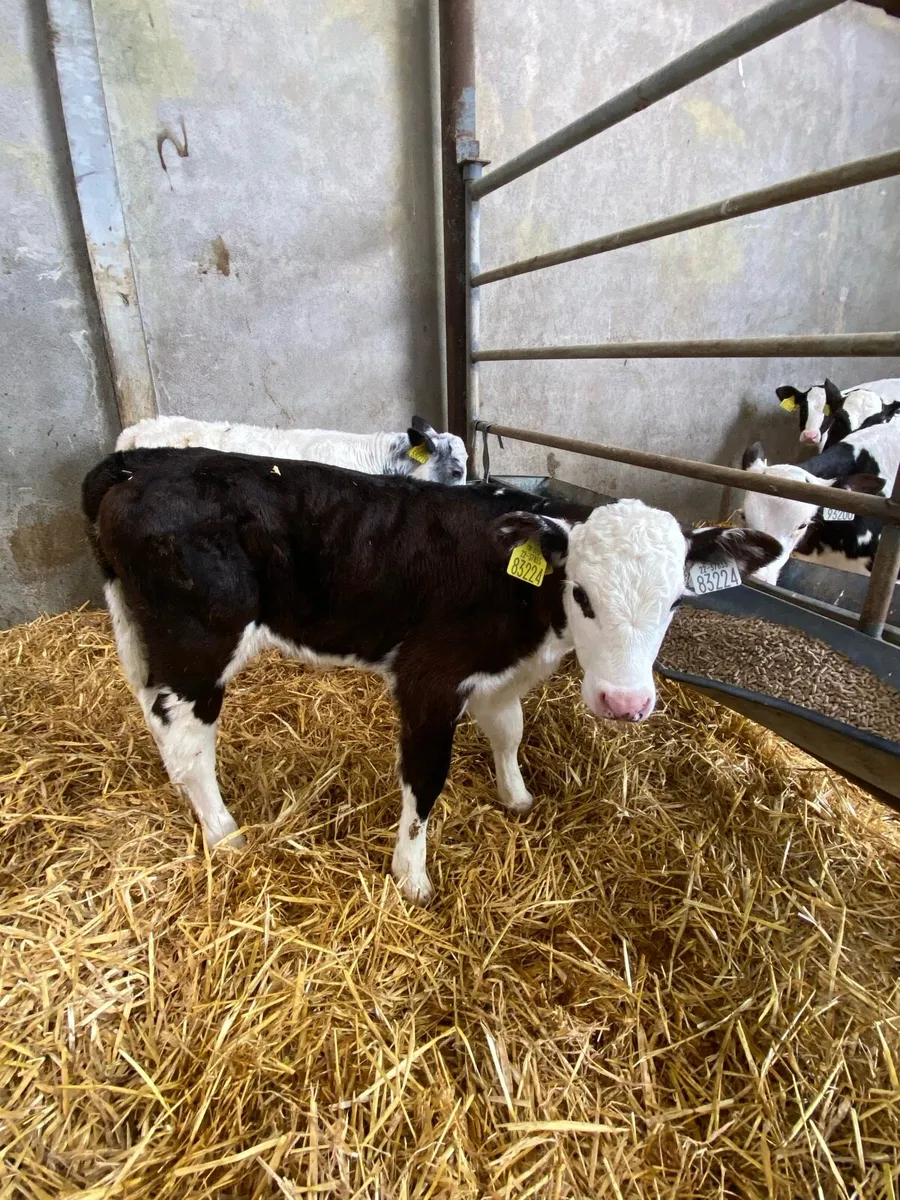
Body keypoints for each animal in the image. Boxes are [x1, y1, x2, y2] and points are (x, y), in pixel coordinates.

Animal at [82, 447, 780, 903]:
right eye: (580, 593)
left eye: (676, 602)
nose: (625, 702)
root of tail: (142, 463)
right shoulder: (428, 679)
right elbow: (425, 781)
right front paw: (411, 877)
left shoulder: (498, 674)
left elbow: (509, 731)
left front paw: (516, 796)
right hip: (198, 643)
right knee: (189, 744)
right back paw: (225, 834)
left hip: (143, 637)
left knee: (158, 722)